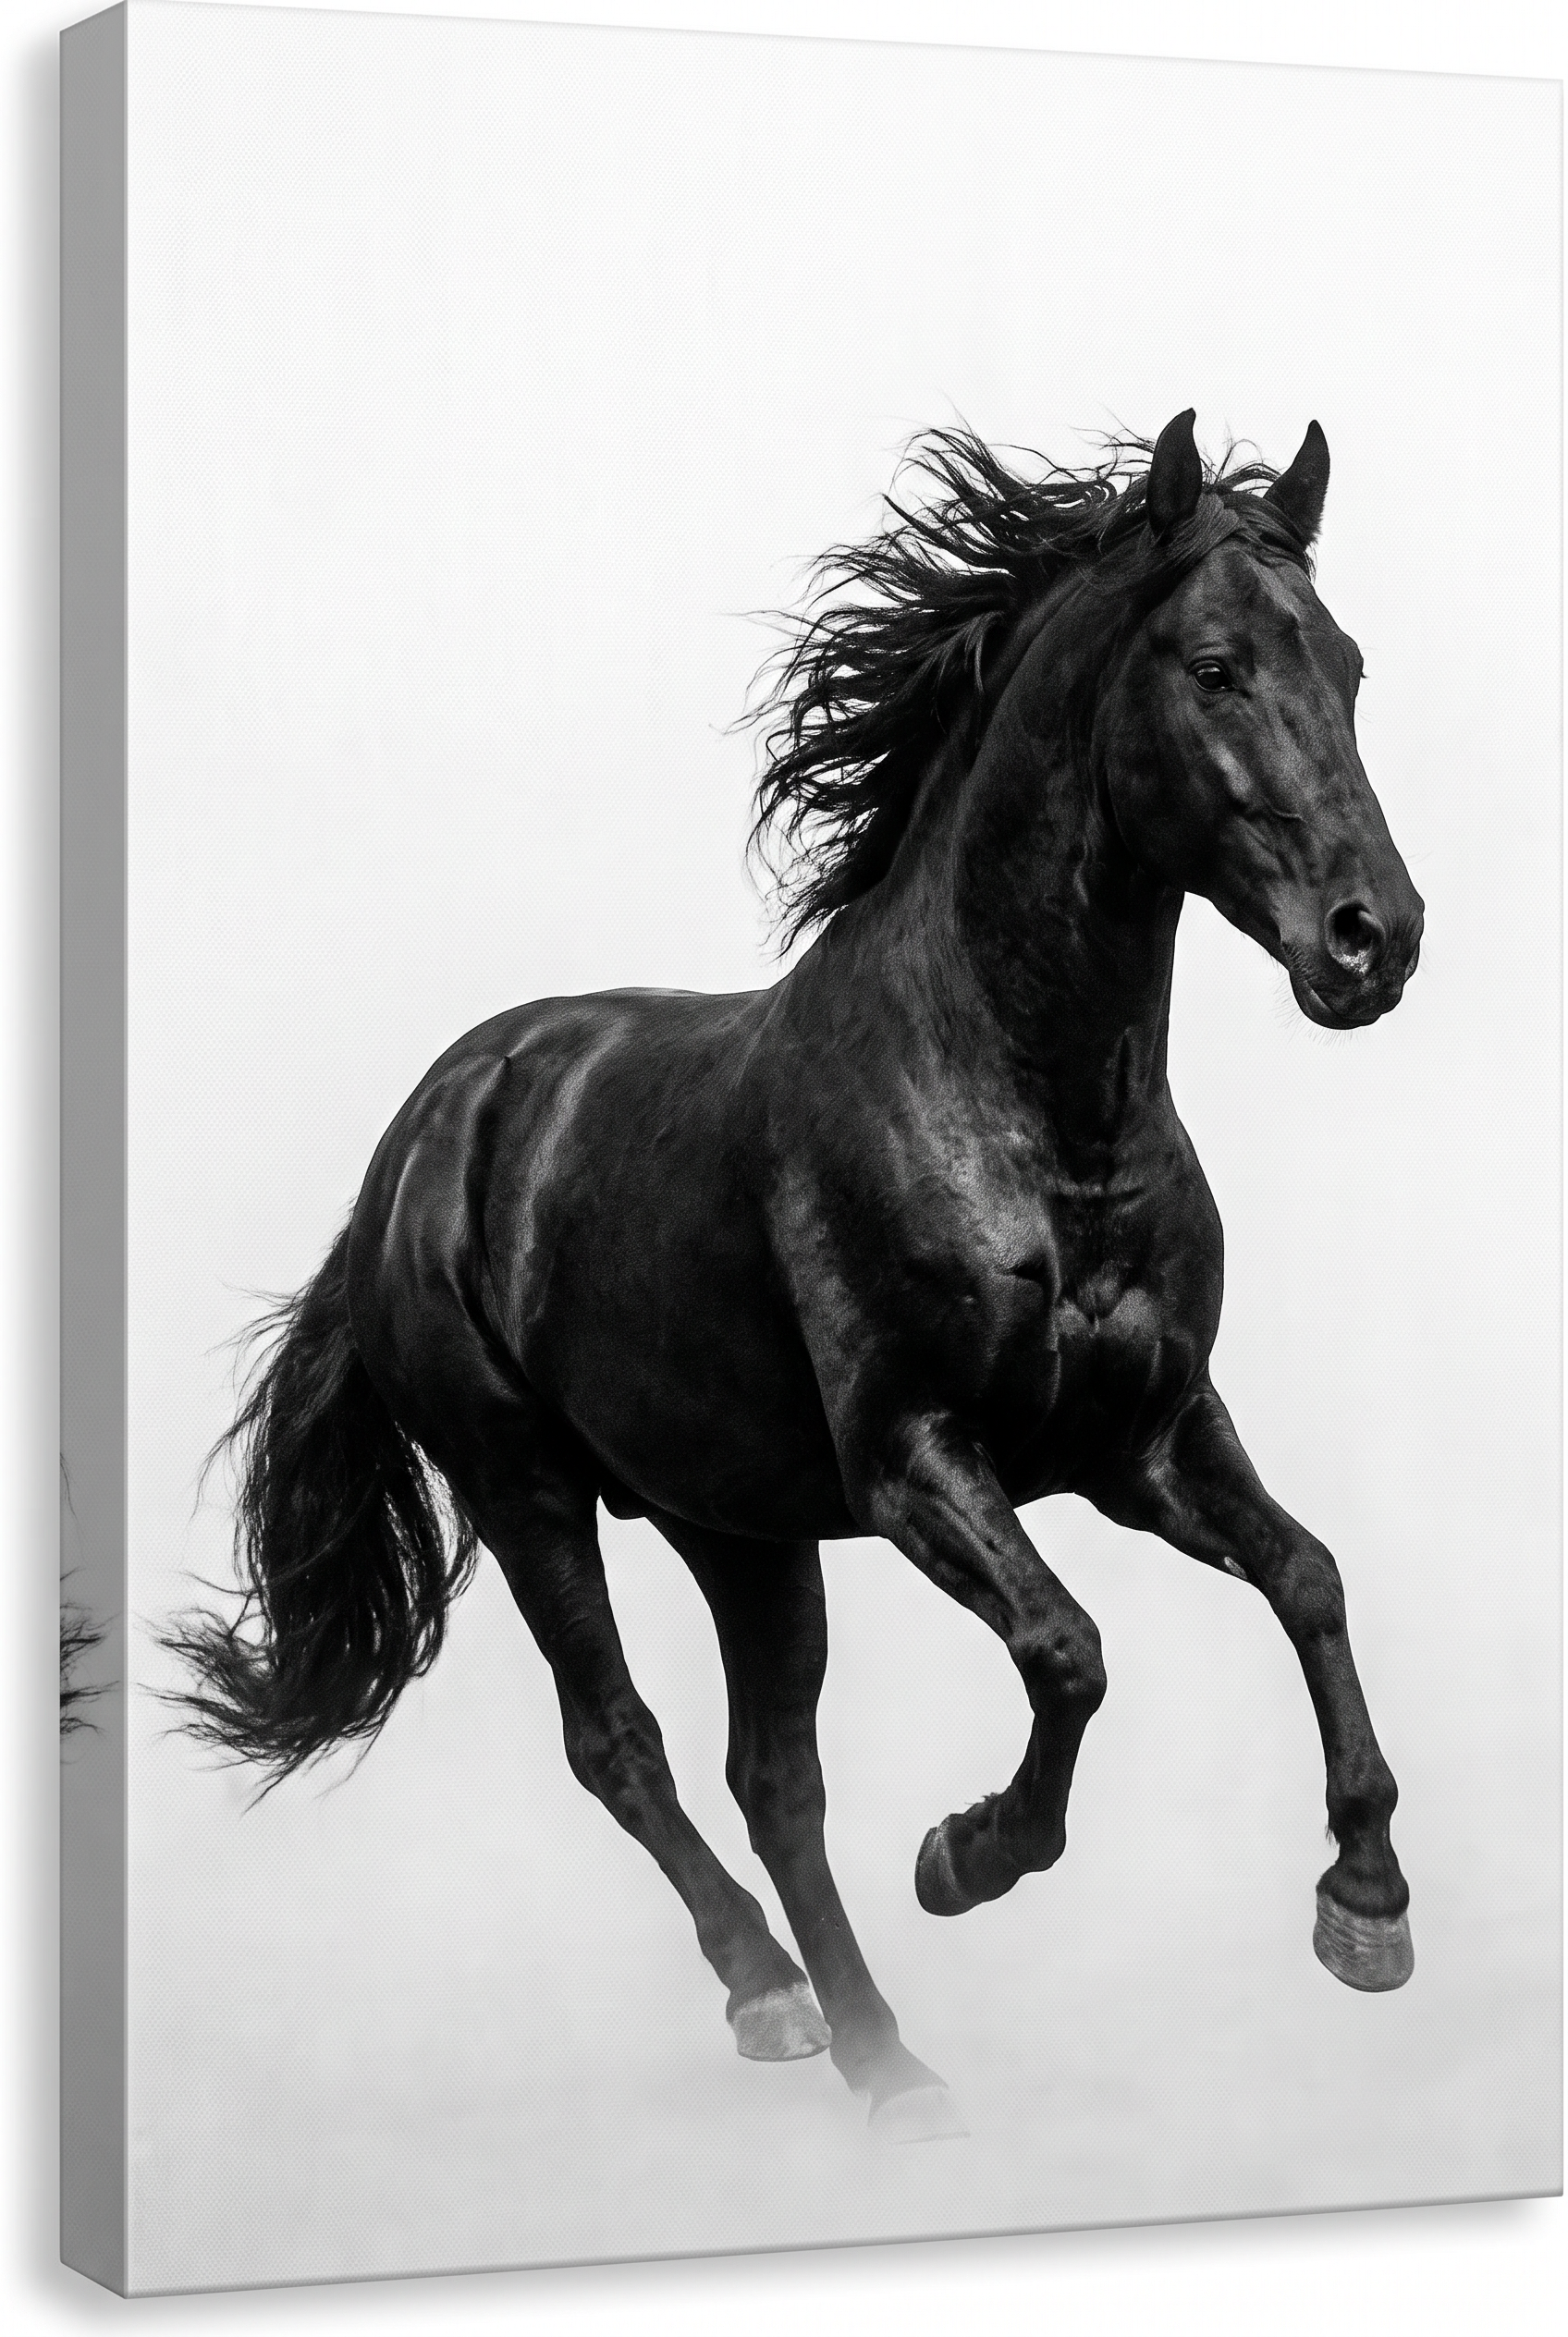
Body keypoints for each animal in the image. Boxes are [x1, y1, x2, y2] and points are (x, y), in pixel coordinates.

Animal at [169, 410, 1423, 2142]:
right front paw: (968, 1855)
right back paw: (791, 2005)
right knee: (621, 1745)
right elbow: (1071, 1653)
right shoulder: (915, 1463)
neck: (1028, 1109)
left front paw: (1365, 1905)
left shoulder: (1146, 1440)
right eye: (1219, 665)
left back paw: (880, 2054)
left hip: (738, 1527)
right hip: (523, 1483)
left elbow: (1310, 1576)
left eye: (1351, 665)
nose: (1377, 941)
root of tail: (425, 1133)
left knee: (774, 1782)